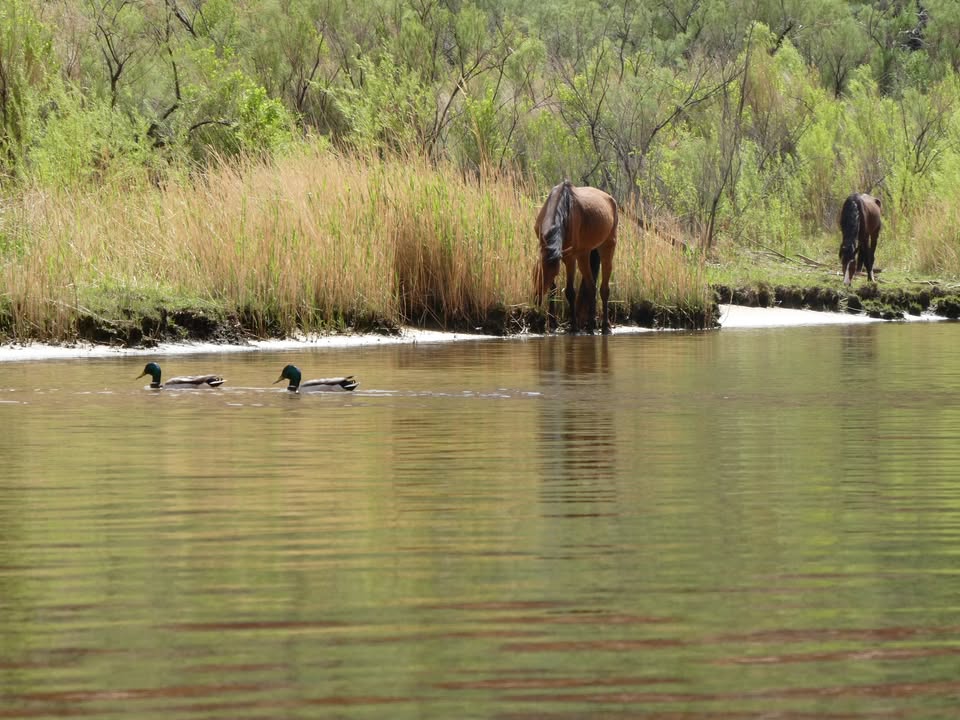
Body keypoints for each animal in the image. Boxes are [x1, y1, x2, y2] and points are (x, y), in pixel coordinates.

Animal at [534, 181, 618, 334]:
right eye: (538, 270)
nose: (537, 298)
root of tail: (611, 200)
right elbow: (553, 289)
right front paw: (552, 323)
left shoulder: (570, 258)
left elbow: (570, 292)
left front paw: (573, 326)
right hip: (587, 253)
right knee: (591, 287)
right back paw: (590, 324)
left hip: (605, 248)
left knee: (601, 289)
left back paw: (603, 326)